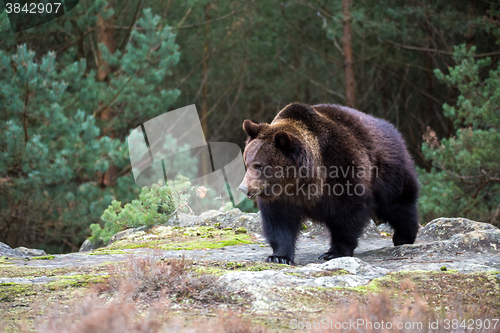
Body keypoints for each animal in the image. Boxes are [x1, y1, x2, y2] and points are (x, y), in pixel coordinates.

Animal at [240, 102, 420, 264]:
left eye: (260, 165)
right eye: (247, 162)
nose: (243, 187)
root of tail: (392, 129)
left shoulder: (342, 169)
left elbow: (347, 213)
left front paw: (334, 252)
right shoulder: (282, 196)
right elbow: (279, 221)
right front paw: (279, 256)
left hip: (388, 171)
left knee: (398, 204)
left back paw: (403, 237)